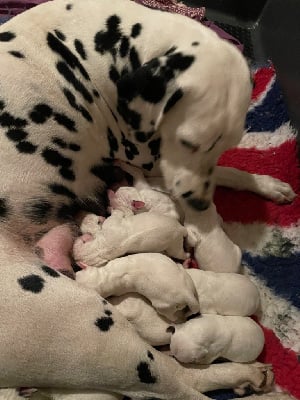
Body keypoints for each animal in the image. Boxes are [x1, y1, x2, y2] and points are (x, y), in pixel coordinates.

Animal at [0, 0, 296, 398]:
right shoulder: (151, 161)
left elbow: (224, 170)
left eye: (227, 140)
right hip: (95, 338)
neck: (82, 49)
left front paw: (266, 184)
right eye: (188, 141)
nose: (199, 207)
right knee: (176, 386)